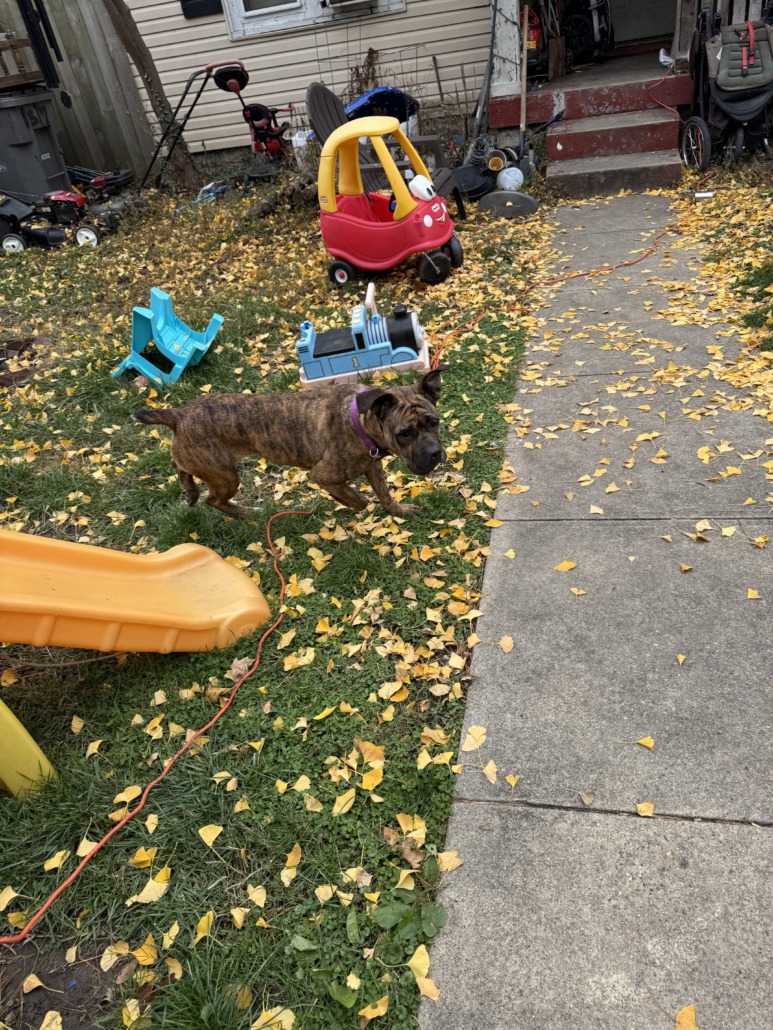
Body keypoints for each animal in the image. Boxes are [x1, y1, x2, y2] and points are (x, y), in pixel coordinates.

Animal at [131, 368, 446, 519]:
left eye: (434, 422)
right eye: (405, 433)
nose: (435, 454)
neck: (358, 419)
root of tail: (180, 414)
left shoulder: (372, 466)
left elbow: (384, 495)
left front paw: (399, 511)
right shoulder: (324, 475)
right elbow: (361, 499)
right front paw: (351, 503)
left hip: (203, 465)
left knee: (181, 468)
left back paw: (191, 491)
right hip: (225, 476)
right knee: (214, 500)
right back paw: (245, 513)